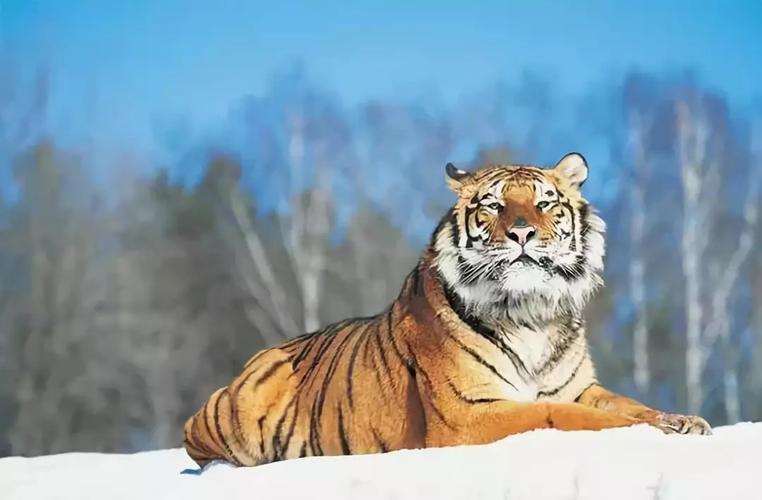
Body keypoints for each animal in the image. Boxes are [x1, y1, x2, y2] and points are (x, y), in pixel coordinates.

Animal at [183, 152, 711, 468]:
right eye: (493, 206)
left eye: (545, 203)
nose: (522, 232)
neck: (530, 312)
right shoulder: (471, 413)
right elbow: (559, 416)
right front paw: (648, 430)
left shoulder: (581, 387)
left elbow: (625, 403)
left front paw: (683, 420)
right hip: (236, 410)